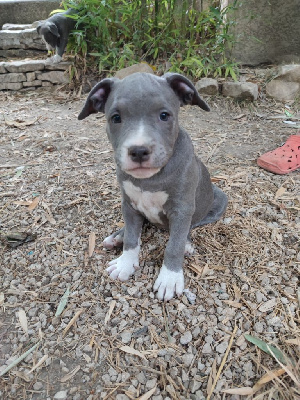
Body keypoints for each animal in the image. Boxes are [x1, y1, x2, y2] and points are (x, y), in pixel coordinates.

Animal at [77, 72, 227, 300]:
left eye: (164, 115)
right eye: (116, 118)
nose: (138, 151)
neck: (150, 179)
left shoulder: (181, 209)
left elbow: (174, 245)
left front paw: (169, 278)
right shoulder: (128, 204)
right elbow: (132, 237)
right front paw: (125, 263)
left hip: (218, 199)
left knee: (190, 227)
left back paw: (187, 244)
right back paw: (117, 237)